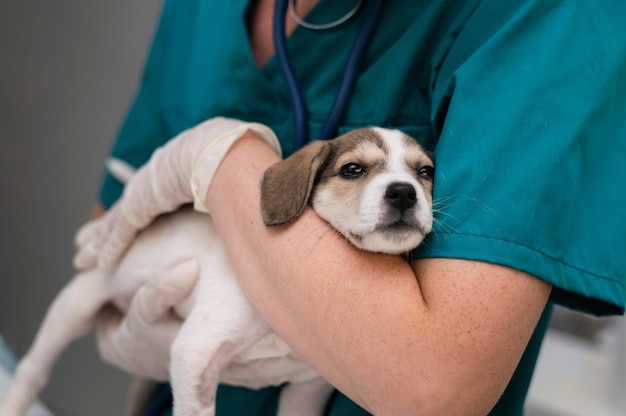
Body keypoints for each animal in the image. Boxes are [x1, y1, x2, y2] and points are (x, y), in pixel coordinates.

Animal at [0, 127, 434, 416]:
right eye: (353, 169)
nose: (403, 192)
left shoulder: (307, 389)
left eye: (425, 172)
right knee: (33, 370)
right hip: (77, 301)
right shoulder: (195, 352)